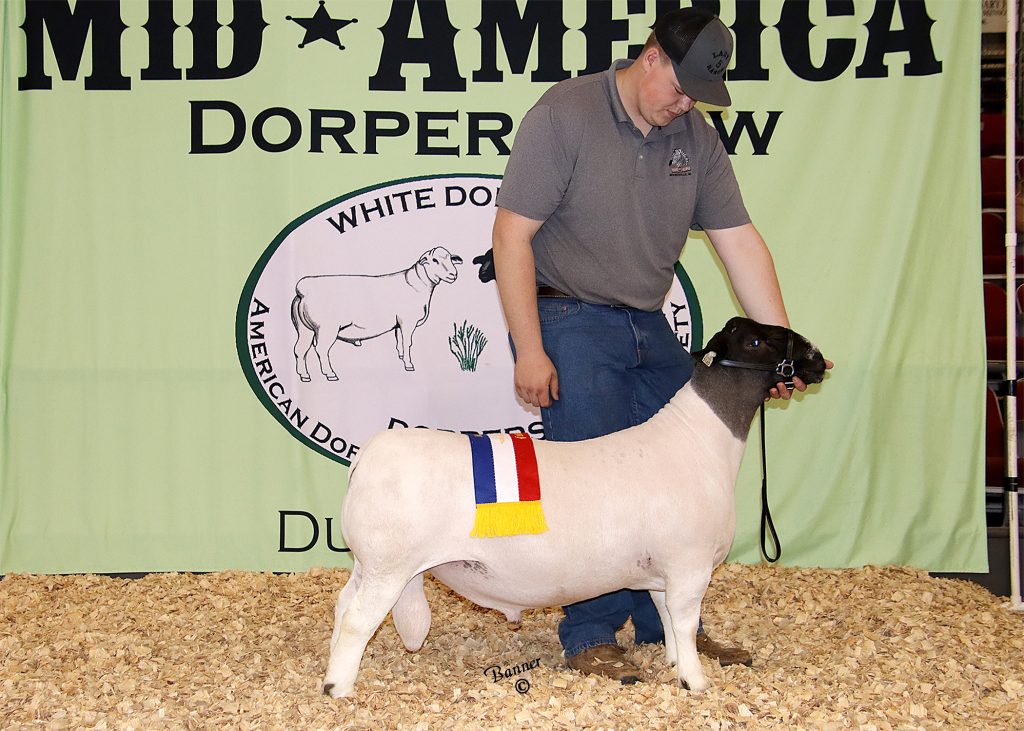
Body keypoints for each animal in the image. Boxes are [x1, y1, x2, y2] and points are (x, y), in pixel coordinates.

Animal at [291, 246, 463, 381]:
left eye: (451, 259)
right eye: (434, 260)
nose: (453, 275)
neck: (416, 284)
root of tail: (304, 289)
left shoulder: (398, 323)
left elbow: (399, 341)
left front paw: (401, 357)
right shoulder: (408, 321)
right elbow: (407, 342)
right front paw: (409, 364)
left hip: (305, 330)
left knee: (299, 350)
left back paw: (304, 375)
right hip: (326, 329)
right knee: (320, 350)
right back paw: (330, 374)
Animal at [322, 317, 827, 697]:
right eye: (757, 341)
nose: (817, 358)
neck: (700, 440)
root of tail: (367, 455)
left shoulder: (663, 571)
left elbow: (665, 618)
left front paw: (673, 664)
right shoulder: (689, 564)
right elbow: (683, 622)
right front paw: (695, 681)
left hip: (368, 563)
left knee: (342, 606)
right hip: (390, 566)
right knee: (357, 621)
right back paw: (338, 689)